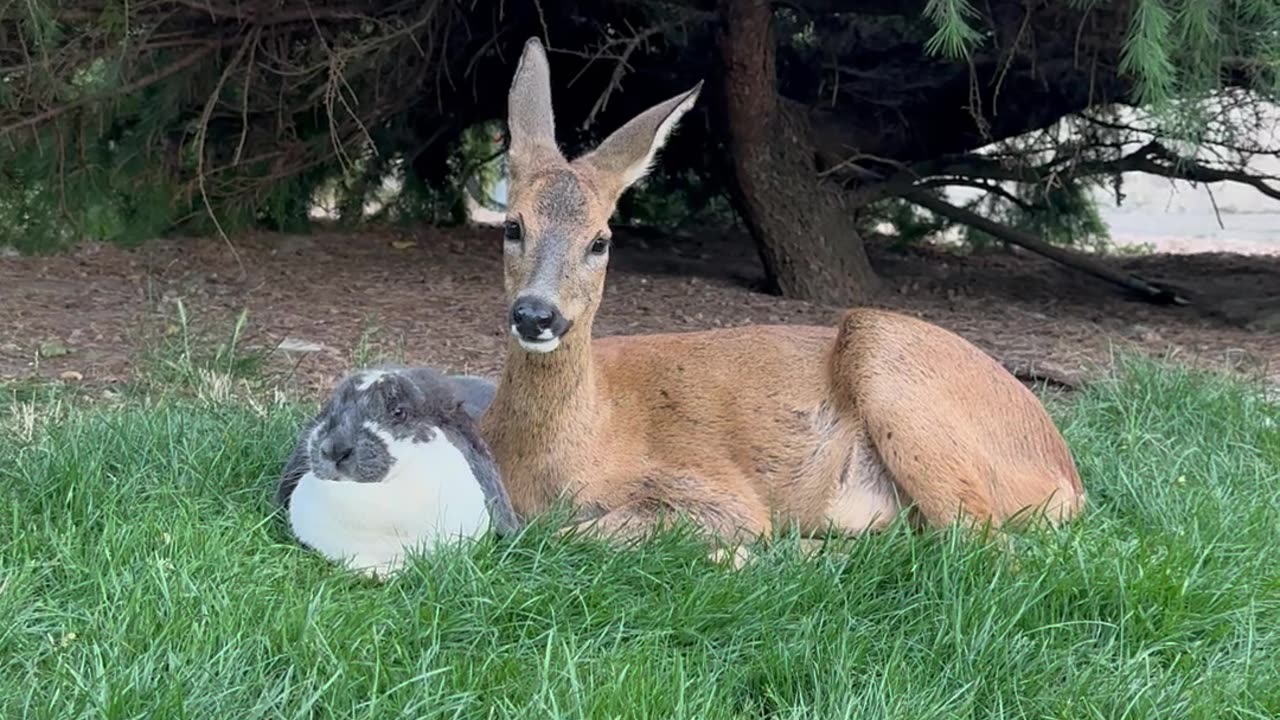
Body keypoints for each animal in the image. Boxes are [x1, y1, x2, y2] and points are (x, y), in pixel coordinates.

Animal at [476, 36, 1085, 558]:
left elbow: (570, 535)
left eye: (599, 240)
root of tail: (1067, 477)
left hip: (889, 360)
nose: (536, 314)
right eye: (512, 226)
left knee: (982, 543)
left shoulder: (716, 488)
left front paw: (739, 551)